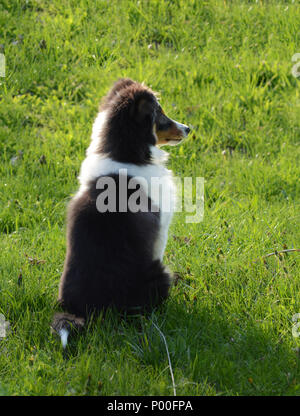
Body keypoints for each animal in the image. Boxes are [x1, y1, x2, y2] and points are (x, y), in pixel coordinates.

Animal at [51, 79, 190, 348]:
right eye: (160, 114)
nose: (188, 128)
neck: (124, 152)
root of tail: (82, 311)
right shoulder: (160, 230)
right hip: (158, 274)